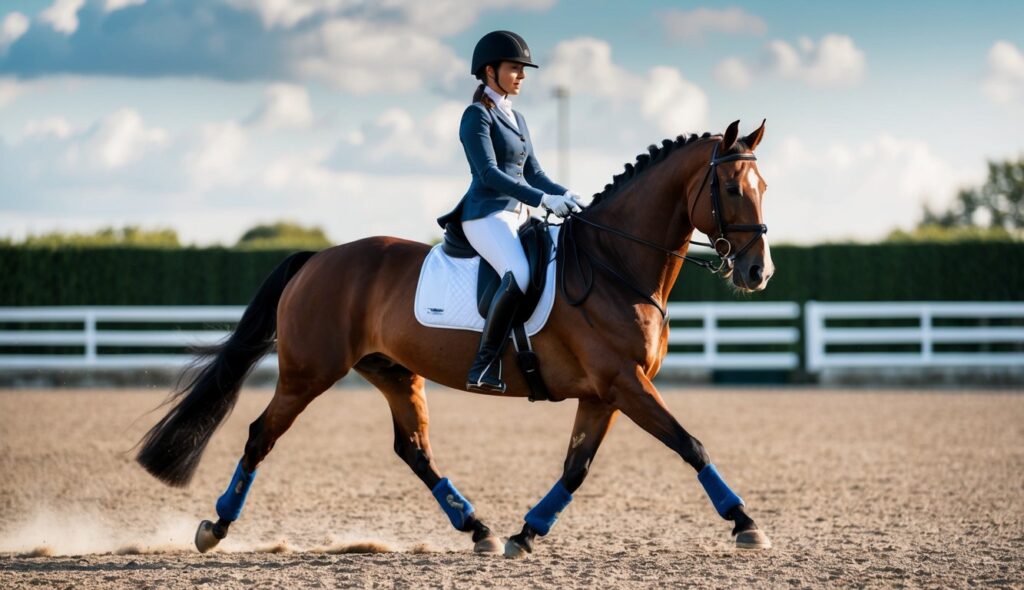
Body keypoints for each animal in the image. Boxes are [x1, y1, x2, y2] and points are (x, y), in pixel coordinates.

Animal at [138, 118, 774, 557]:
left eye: (764, 185)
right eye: (732, 189)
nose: (757, 272)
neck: (614, 263)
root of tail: (317, 258)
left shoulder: (605, 393)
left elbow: (576, 469)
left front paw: (526, 533)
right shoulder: (624, 383)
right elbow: (690, 443)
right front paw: (746, 522)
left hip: (393, 372)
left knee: (413, 450)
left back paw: (479, 529)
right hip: (307, 373)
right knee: (260, 435)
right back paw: (215, 526)